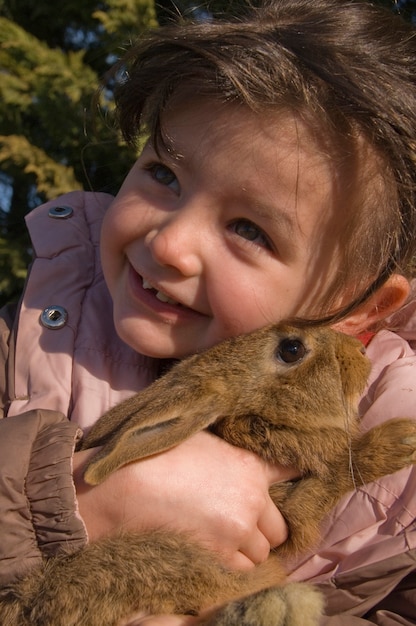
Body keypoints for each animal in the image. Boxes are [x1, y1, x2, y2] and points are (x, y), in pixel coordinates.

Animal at [0, 322, 416, 624]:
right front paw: (402, 438)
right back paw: (280, 607)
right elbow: (340, 472)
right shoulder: (293, 509)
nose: (359, 348)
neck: (251, 418)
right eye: (292, 349)